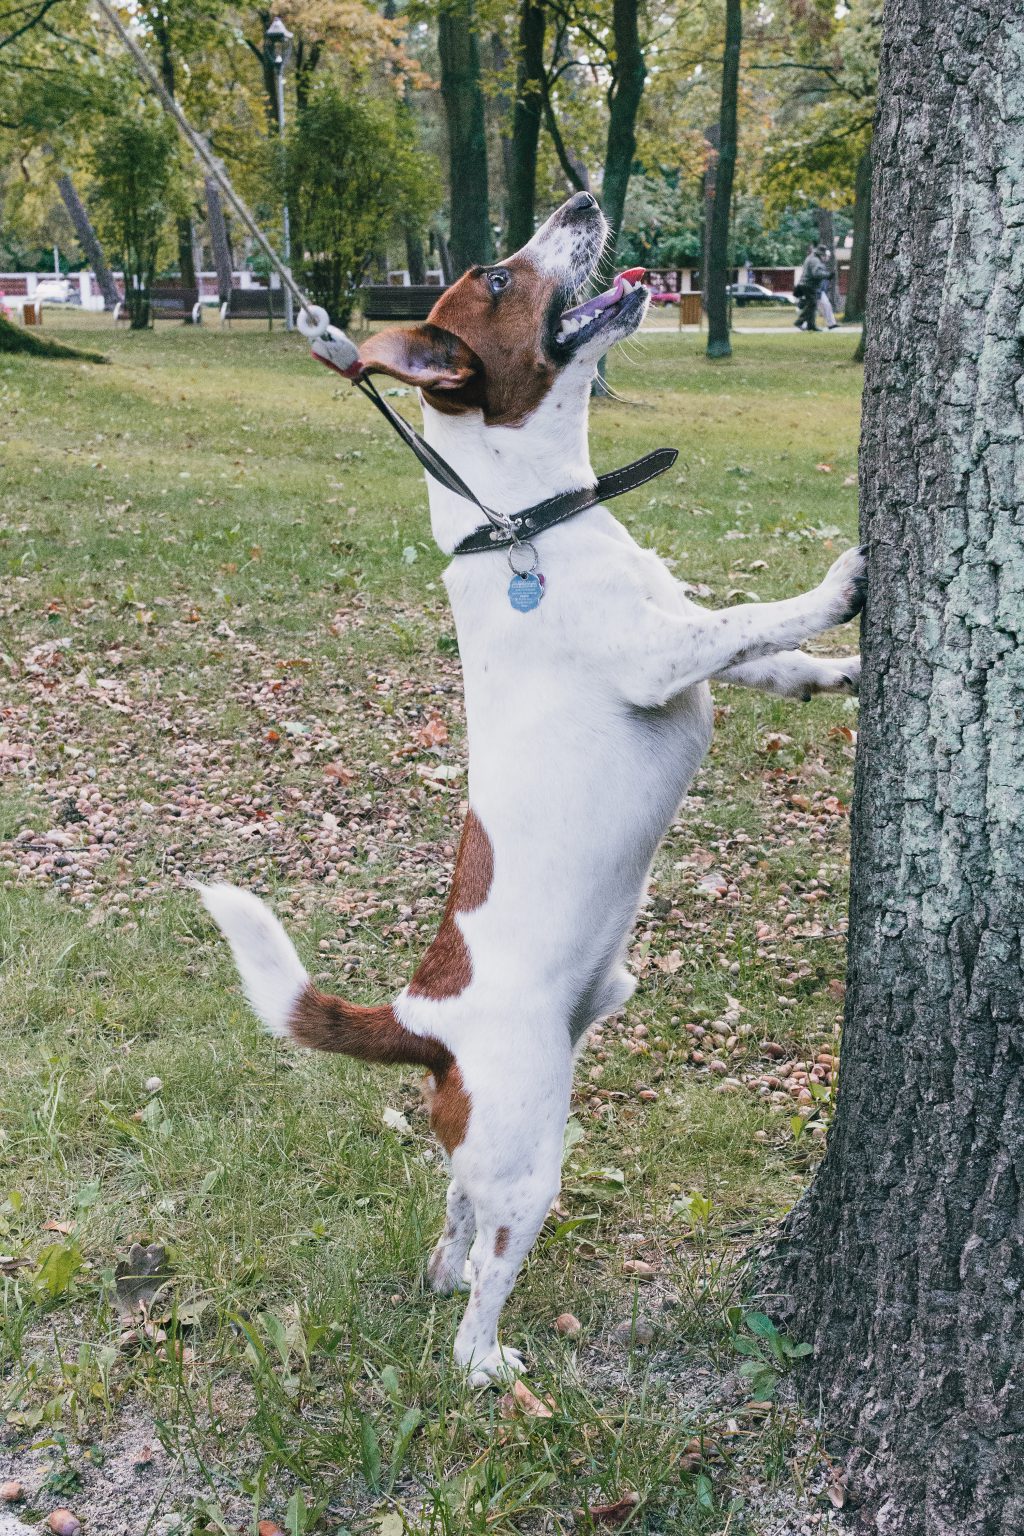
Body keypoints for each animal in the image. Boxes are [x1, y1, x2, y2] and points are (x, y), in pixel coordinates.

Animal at [196, 188, 859, 1382]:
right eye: (498, 278)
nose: (585, 197)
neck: (523, 527)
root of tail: (421, 1016)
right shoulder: (659, 657)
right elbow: (755, 614)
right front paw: (842, 584)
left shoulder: (691, 650)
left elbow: (766, 654)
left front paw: (841, 671)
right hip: (532, 1153)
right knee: (477, 1304)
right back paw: (498, 1369)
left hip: (493, 1137)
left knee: (450, 1227)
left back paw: (444, 1272)